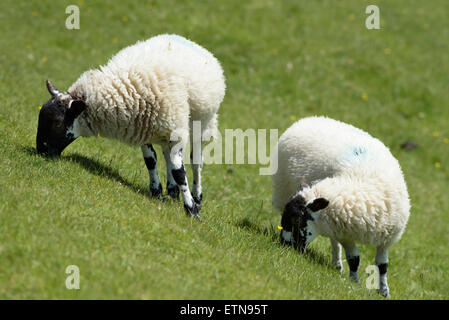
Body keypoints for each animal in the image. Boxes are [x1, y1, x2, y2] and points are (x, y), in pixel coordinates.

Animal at [35, 34, 226, 220]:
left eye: (57, 123)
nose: (41, 151)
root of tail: (187, 39)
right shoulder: (144, 127)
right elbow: (151, 160)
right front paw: (157, 192)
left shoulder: (173, 130)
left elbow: (180, 172)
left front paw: (192, 211)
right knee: (167, 156)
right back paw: (172, 192)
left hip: (202, 124)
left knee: (196, 162)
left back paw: (197, 197)